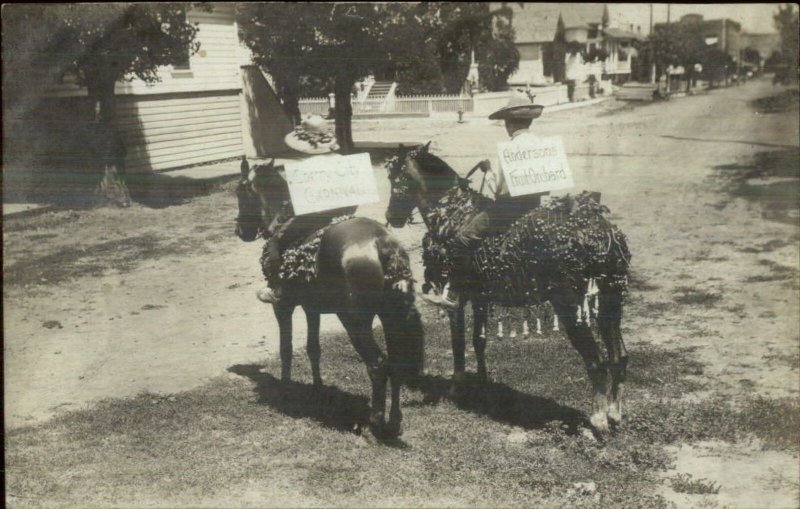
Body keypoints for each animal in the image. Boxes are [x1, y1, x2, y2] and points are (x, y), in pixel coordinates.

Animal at [234, 157, 424, 438]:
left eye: (240, 191)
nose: (240, 230)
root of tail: (383, 243)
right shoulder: (312, 309)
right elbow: (313, 348)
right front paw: (317, 387)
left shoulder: (284, 308)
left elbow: (286, 349)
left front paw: (285, 389)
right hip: (391, 319)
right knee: (395, 363)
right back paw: (394, 421)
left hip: (354, 321)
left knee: (377, 365)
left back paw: (375, 421)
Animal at [384, 143, 636, 432]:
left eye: (395, 180)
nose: (391, 217)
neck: (452, 213)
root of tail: (603, 234)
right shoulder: (480, 297)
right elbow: (478, 340)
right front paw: (482, 382)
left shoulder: (457, 299)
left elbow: (458, 342)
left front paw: (457, 386)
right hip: (610, 300)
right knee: (619, 357)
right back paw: (614, 413)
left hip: (571, 307)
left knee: (596, 362)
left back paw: (598, 419)